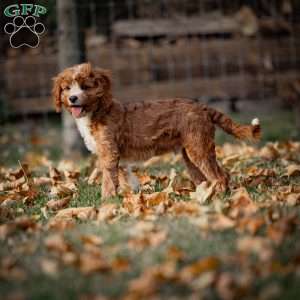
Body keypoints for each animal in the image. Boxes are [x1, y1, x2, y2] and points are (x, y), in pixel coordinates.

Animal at [52, 62, 262, 199]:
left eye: (85, 87)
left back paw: (218, 198)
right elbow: (124, 178)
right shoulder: (116, 157)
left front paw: (106, 203)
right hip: (191, 153)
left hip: (199, 149)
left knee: (219, 176)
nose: (72, 98)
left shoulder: (109, 152)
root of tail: (202, 107)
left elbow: (108, 181)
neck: (99, 110)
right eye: (67, 88)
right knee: (211, 177)